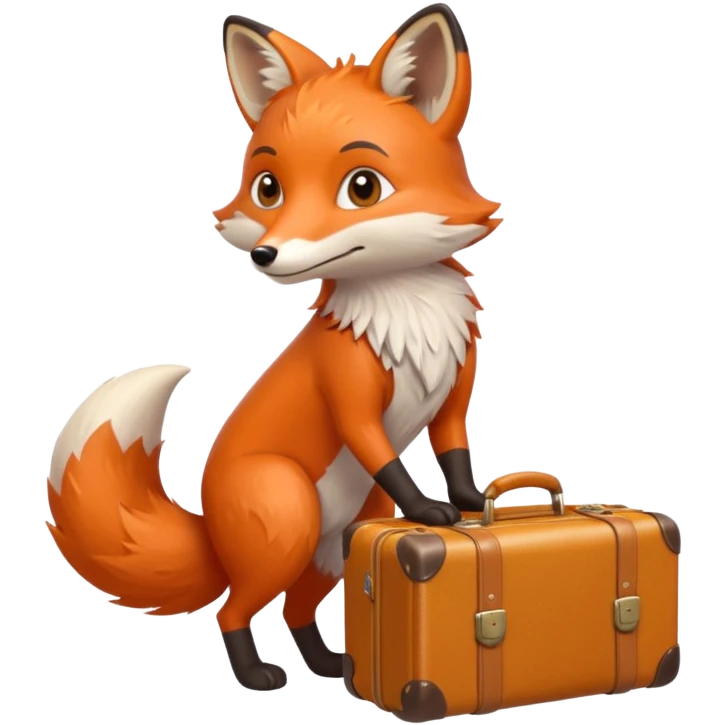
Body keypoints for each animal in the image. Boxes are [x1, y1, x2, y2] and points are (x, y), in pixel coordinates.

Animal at [45, 4, 503, 694]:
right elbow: (384, 453)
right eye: (268, 188)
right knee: (233, 609)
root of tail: (210, 528)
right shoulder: (350, 396)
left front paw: (474, 501)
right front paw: (427, 509)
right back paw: (259, 674)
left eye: (362, 188)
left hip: (330, 545)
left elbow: (453, 451)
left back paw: (332, 665)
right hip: (288, 518)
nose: (265, 254)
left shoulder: (452, 393)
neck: (406, 309)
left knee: (295, 610)